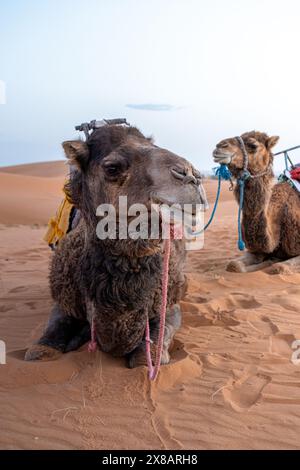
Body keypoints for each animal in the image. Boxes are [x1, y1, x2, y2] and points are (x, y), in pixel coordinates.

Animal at [24, 124, 209, 368]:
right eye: (112, 168)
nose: (192, 175)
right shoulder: (65, 300)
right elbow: (42, 347)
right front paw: (51, 345)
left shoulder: (169, 305)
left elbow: (150, 351)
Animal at [212, 130, 300, 274]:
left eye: (253, 145)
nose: (219, 146)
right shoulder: (257, 251)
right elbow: (233, 265)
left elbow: (279, 267)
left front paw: (271, 262)